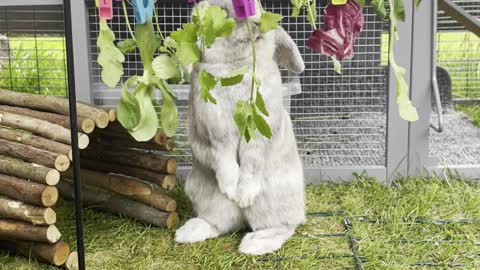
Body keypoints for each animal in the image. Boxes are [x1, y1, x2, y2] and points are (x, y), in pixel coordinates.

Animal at [174, 0, 306, 255]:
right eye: (224, 13)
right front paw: (231, 189)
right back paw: (188, 232)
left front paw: (243, 195)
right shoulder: (214, 131)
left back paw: (253, 243)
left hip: (274, 200)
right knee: (220, 224)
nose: (256, 23)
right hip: (206, 197)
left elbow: (252, 160)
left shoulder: (257, 134)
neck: (235, 67)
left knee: (284, 226)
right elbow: (223, 156)